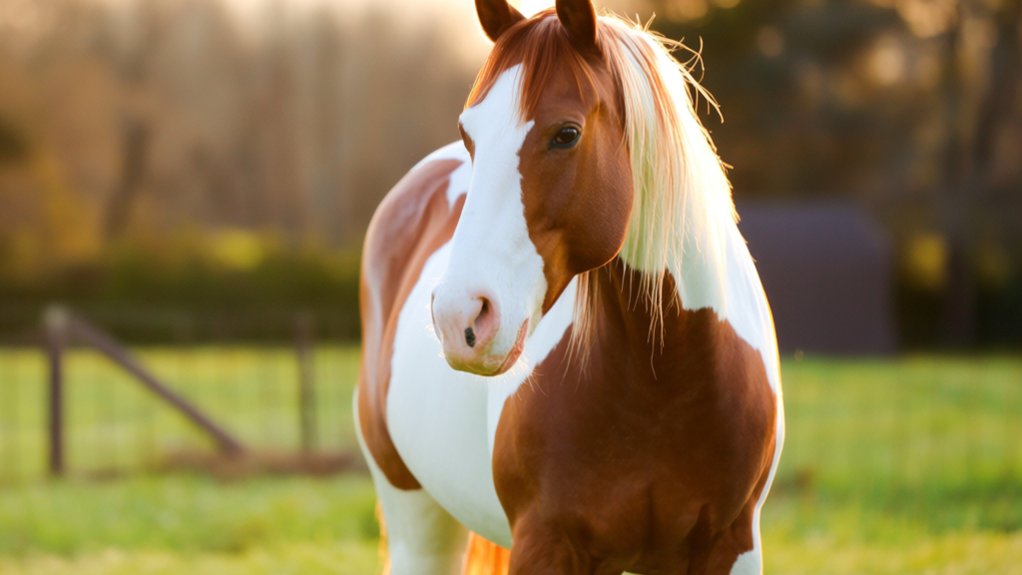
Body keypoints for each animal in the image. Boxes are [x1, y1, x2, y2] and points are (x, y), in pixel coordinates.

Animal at [355, 1, 784, 573]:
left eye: (566, 134)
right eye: (470, 134)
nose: (457, 317)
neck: (662, 382)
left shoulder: (732, 545)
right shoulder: (545, 544)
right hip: (417, 523)